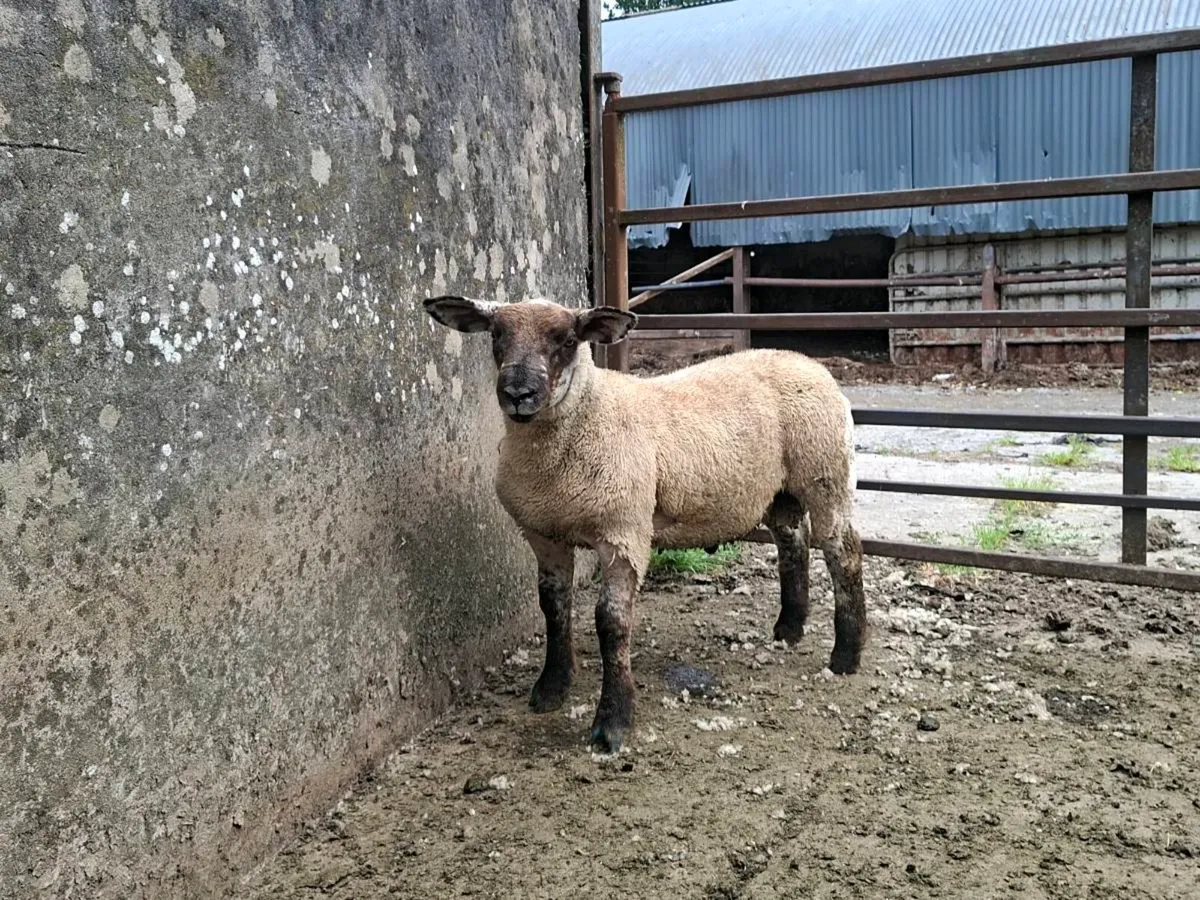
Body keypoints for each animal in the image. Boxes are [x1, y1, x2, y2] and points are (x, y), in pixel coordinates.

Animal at [424, 295, 867, 753]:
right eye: (496, 334)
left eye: (567, 340)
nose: (517, 394)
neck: (589, 414)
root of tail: (807, 362)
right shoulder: (544, 534)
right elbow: (553, 607)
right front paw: (551, 688)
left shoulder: (624, 533)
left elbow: (611, 622)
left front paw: (612, 722)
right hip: (782, 491)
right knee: (792, 542)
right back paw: (789, 629)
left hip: (826, 472)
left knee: (843, 551)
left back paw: (846, 654)